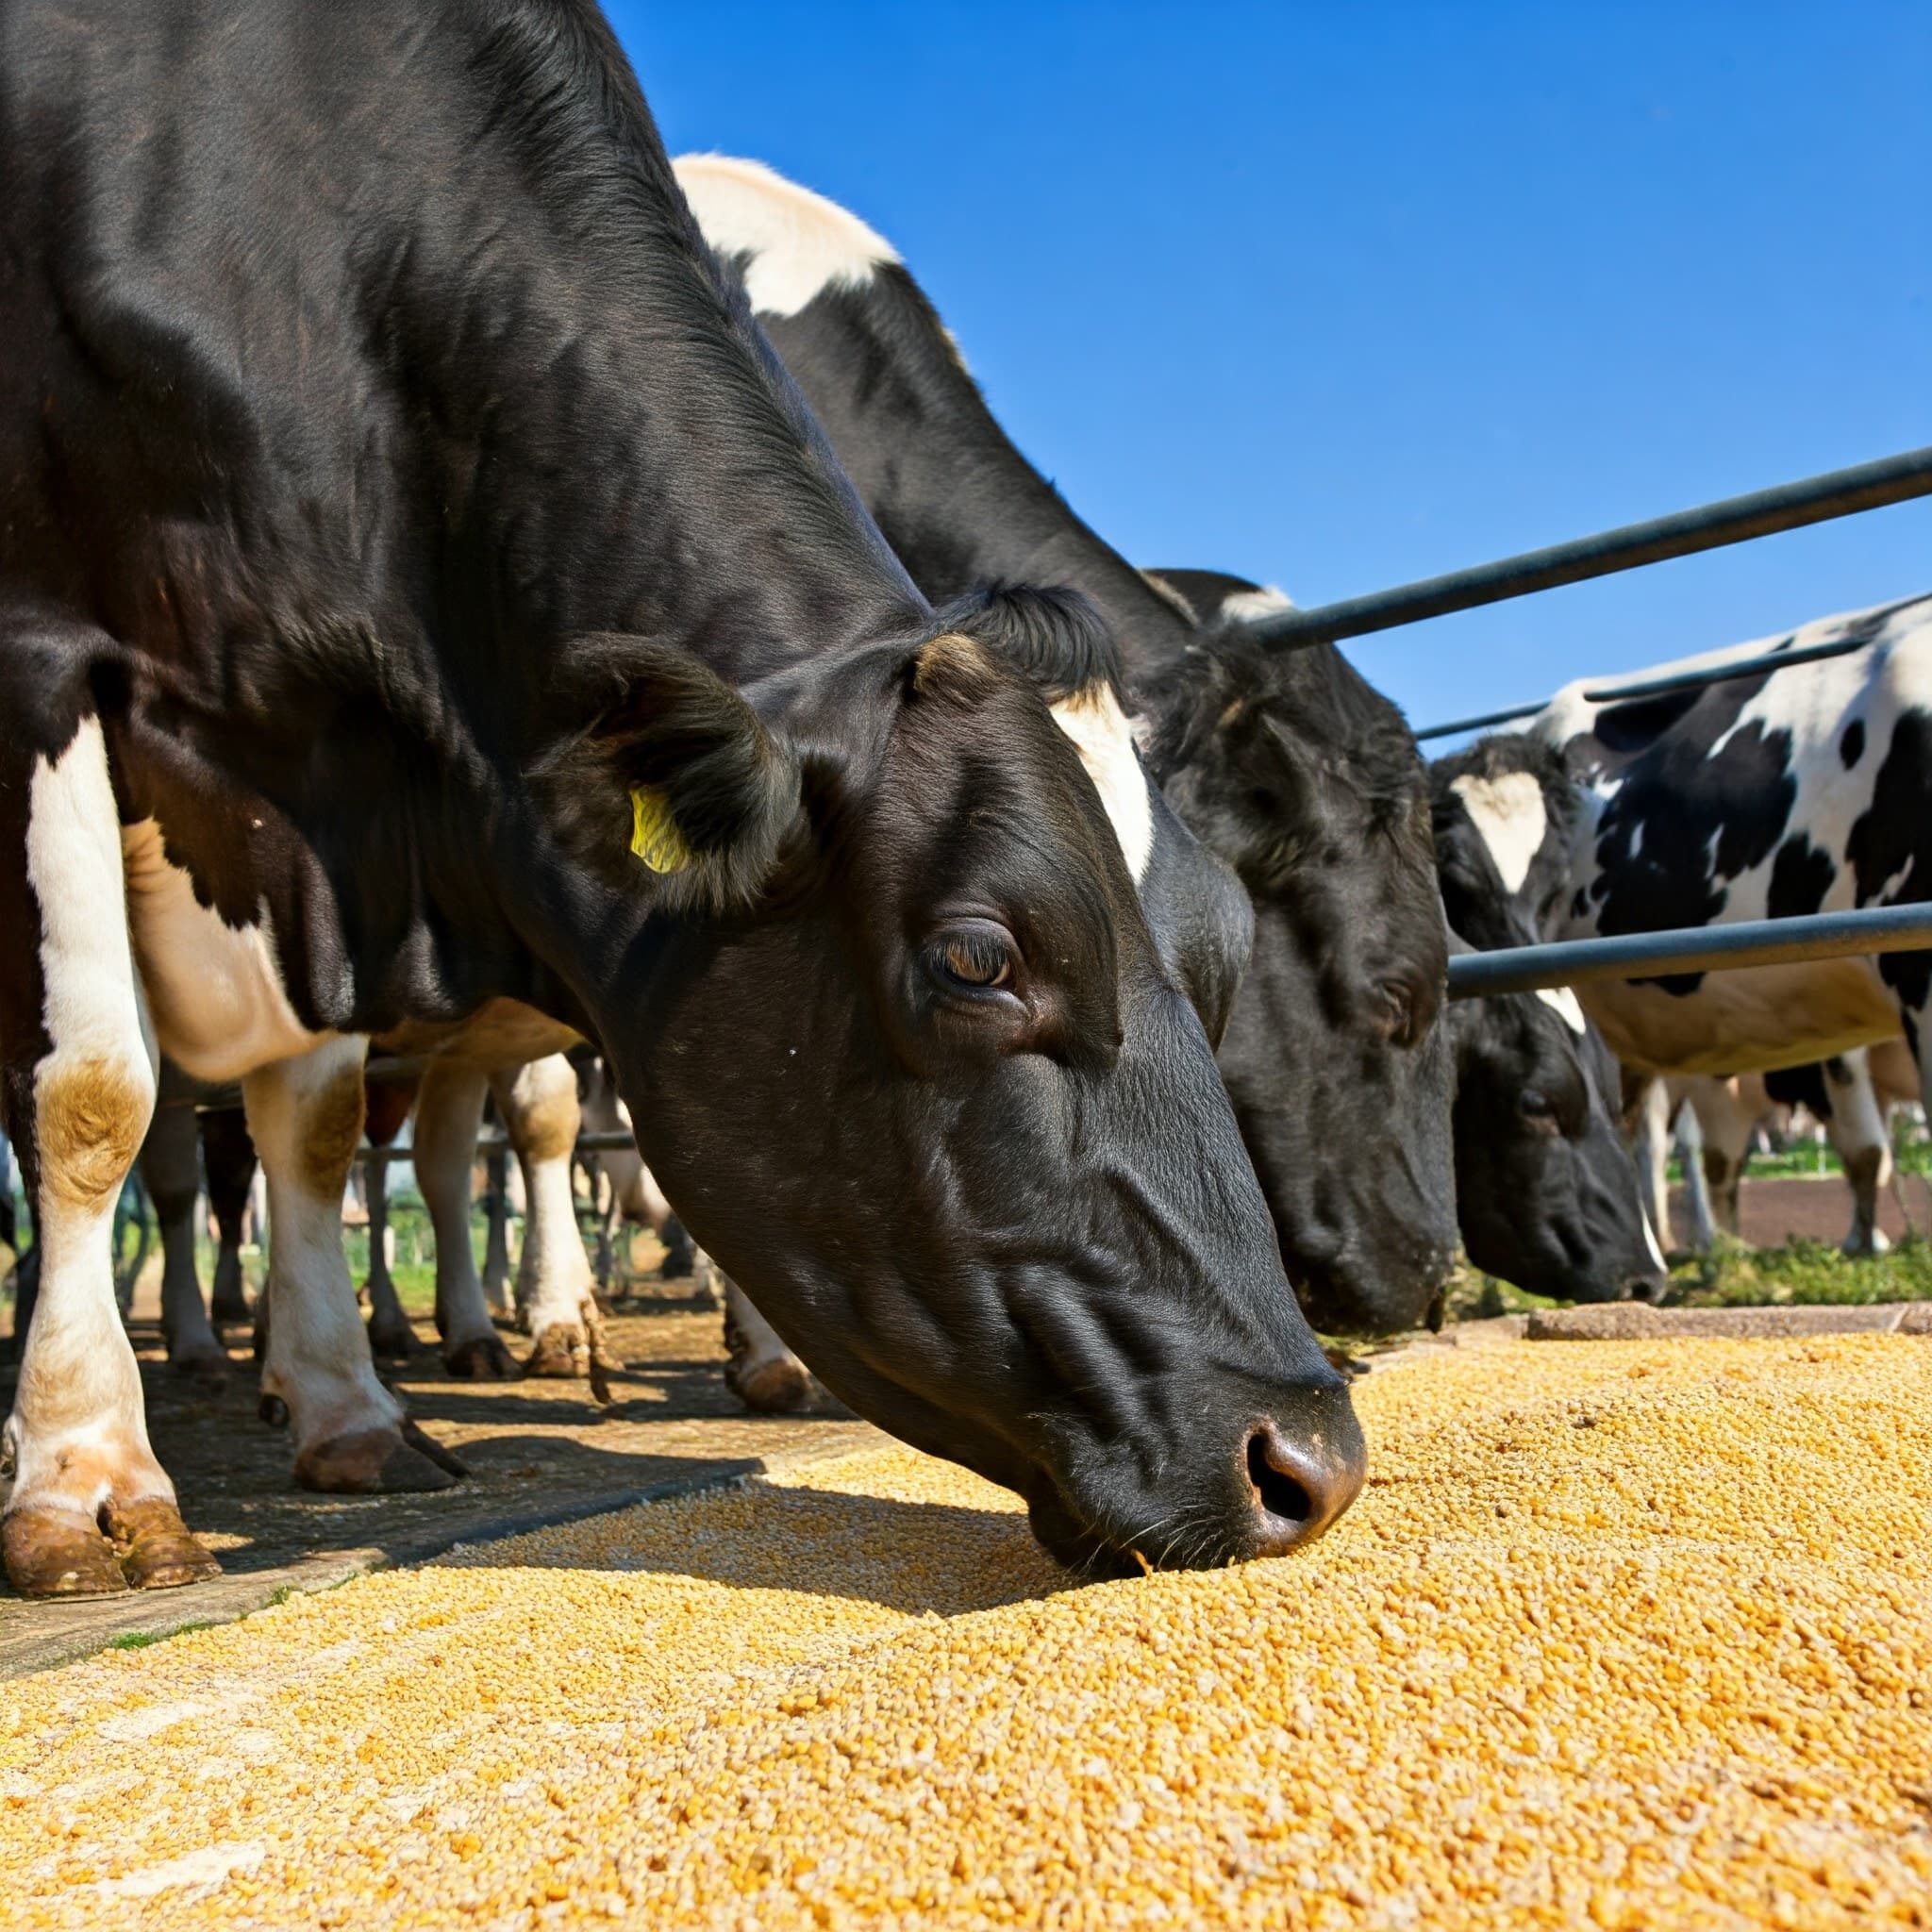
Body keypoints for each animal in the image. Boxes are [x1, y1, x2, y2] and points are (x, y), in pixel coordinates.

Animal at [0, 0, 1367, 1591]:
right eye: (980, 958)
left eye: (1218, 958)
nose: (1311, 1461)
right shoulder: (40, 657)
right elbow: (95, 1095)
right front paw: (88, 1478)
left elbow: (323, 1129)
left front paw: (350, 1410)